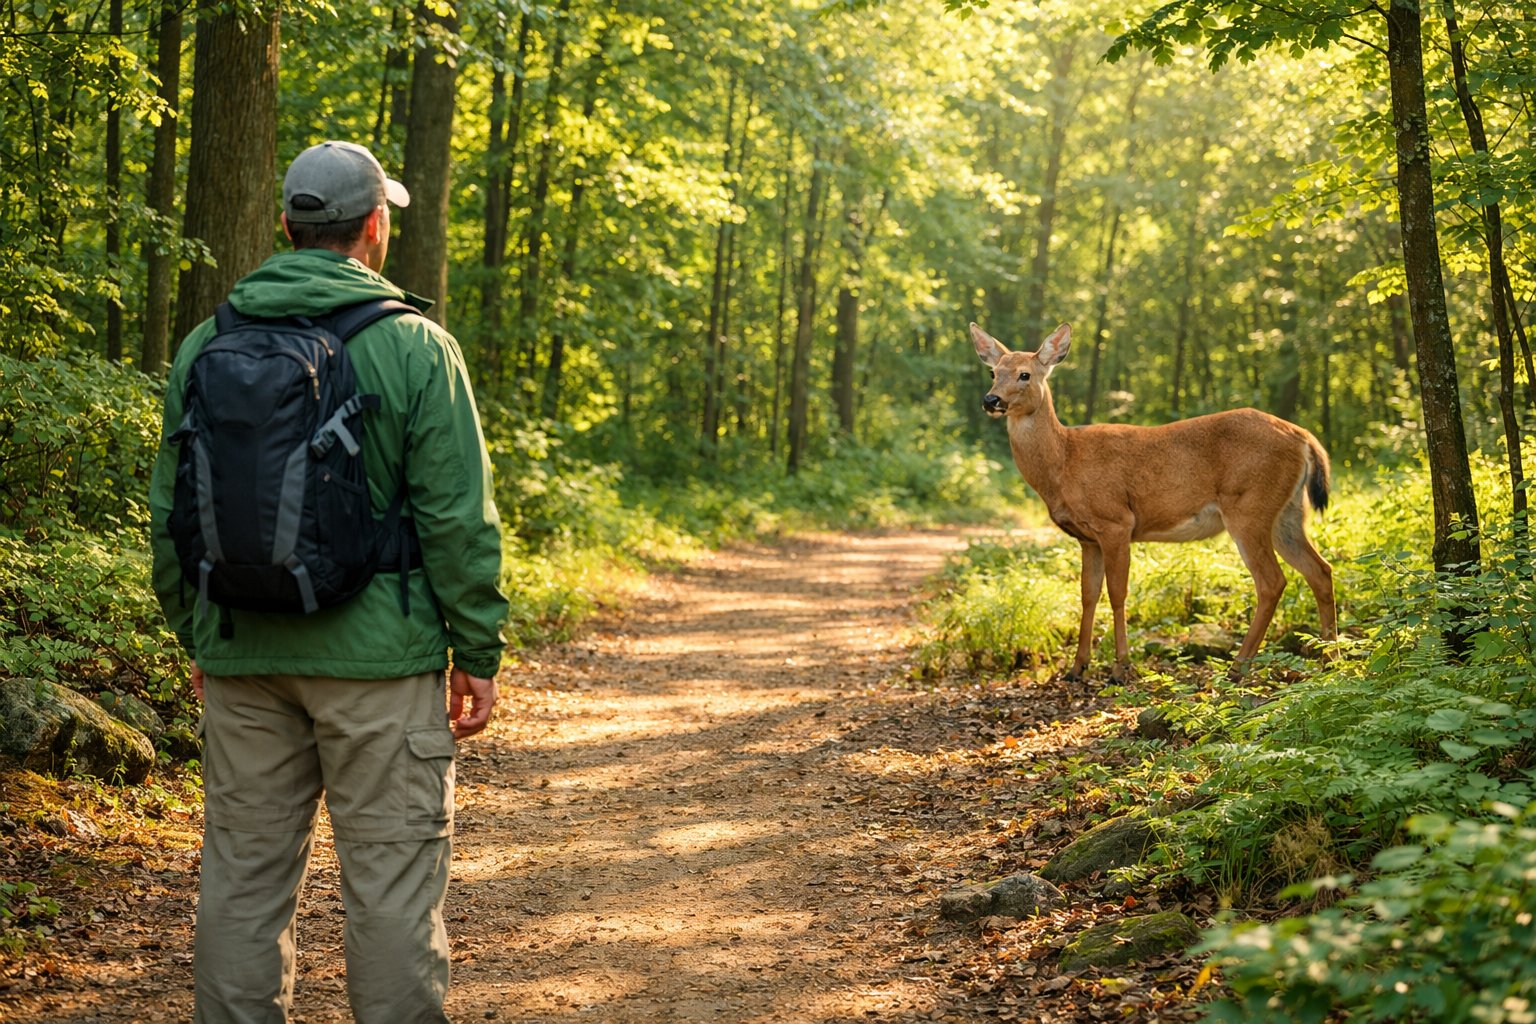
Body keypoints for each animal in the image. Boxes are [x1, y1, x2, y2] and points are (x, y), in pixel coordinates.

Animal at [971, 321, 1336, 682]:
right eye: (993, 372)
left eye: (1025, 374)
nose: (991, 399)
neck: (1064, 463)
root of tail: (1304, 436)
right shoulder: (1087, 539)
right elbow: (1087, 595)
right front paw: (1077, 668)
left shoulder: (1116, 522)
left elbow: (1117, 593)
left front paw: (1120, 668)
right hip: (1287, 513)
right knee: (1320, 570)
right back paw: (1330, 660)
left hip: (1249, 507)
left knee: (1272, 581)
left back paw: (1238, 667)